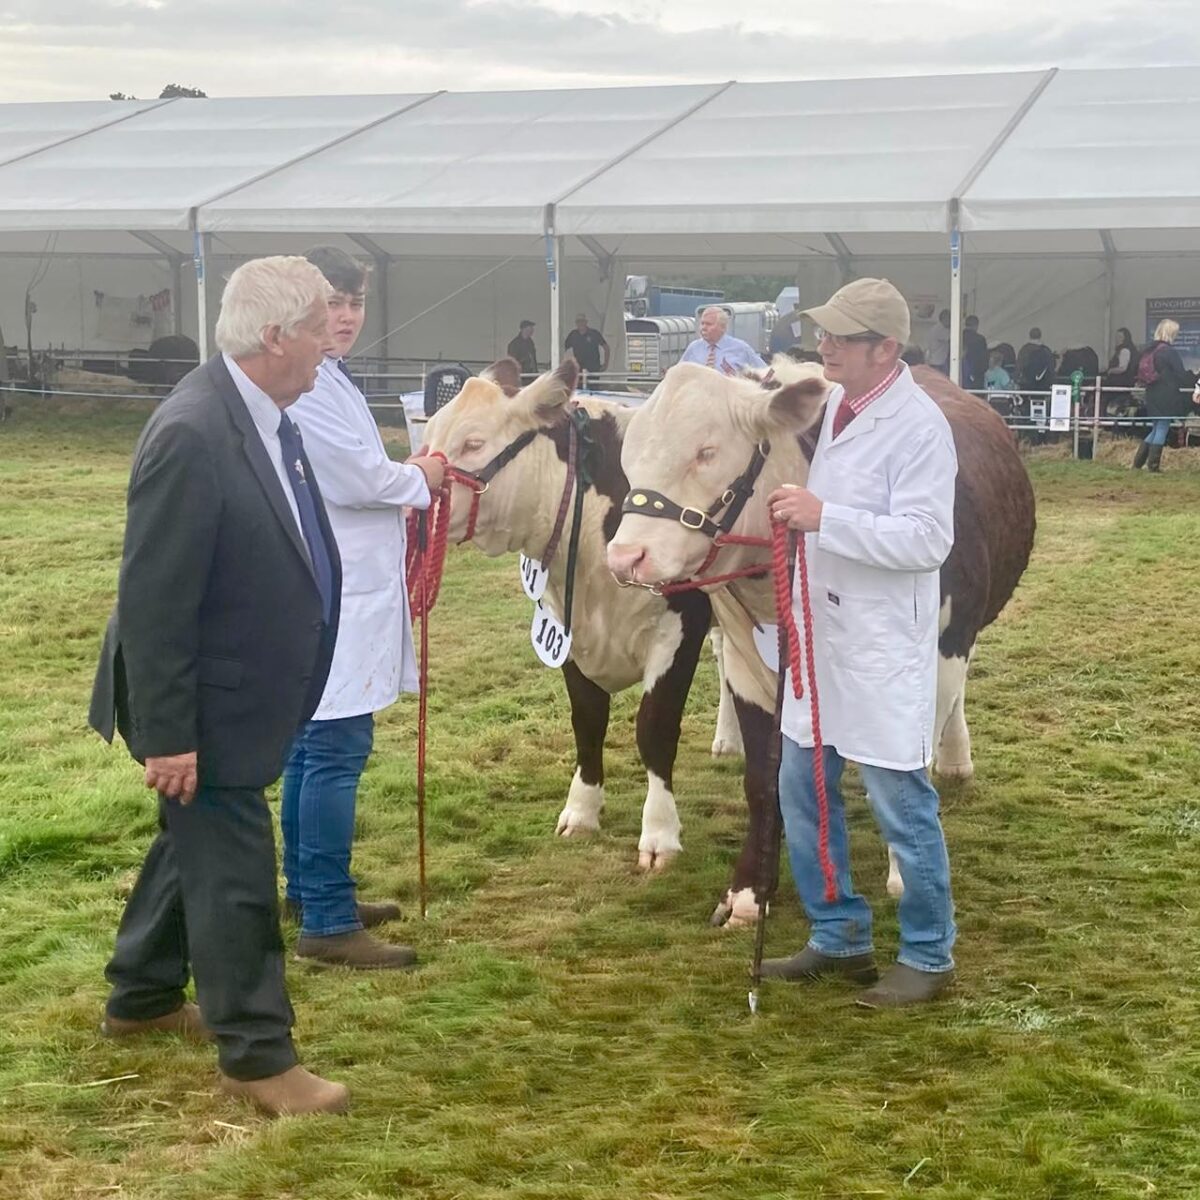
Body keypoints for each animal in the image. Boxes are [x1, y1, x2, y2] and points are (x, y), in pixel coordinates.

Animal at [422, 355, 739, 873]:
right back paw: (729, 741)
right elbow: (587, 720)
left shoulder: (678, 630)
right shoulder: (566, 632)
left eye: (472, 442)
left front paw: (660, 835)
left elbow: (654, 728)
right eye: (429, 434)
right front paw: (582, 811)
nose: (419, 491)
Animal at [604, 360, 1036, 921]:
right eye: (629, 458)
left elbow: (907, 773)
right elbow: (763, 779)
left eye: (706, 451)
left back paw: (955, 758)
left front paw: (906, 875)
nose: (625, 556)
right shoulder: (747, 661)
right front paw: (750, 889)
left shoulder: (941, 652)